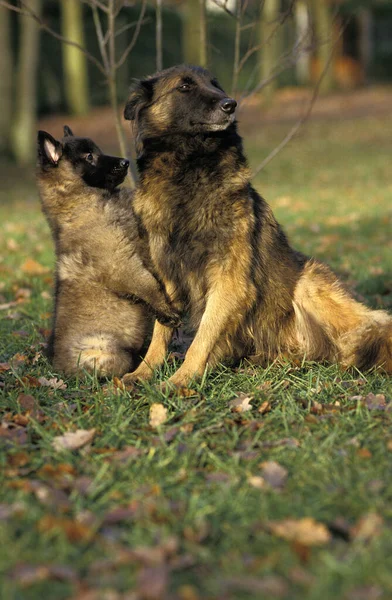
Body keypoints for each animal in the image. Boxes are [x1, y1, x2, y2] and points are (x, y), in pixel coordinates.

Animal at [123, 63, 392, 386]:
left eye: (215, 84)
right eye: (185, 86)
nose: (230, 104)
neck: (189, 169)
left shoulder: (229, 278)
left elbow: (202, 337)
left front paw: (181, 379)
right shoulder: (168, 275)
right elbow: (159, 332)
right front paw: (142, 372)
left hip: (309, 283)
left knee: (374, 326)